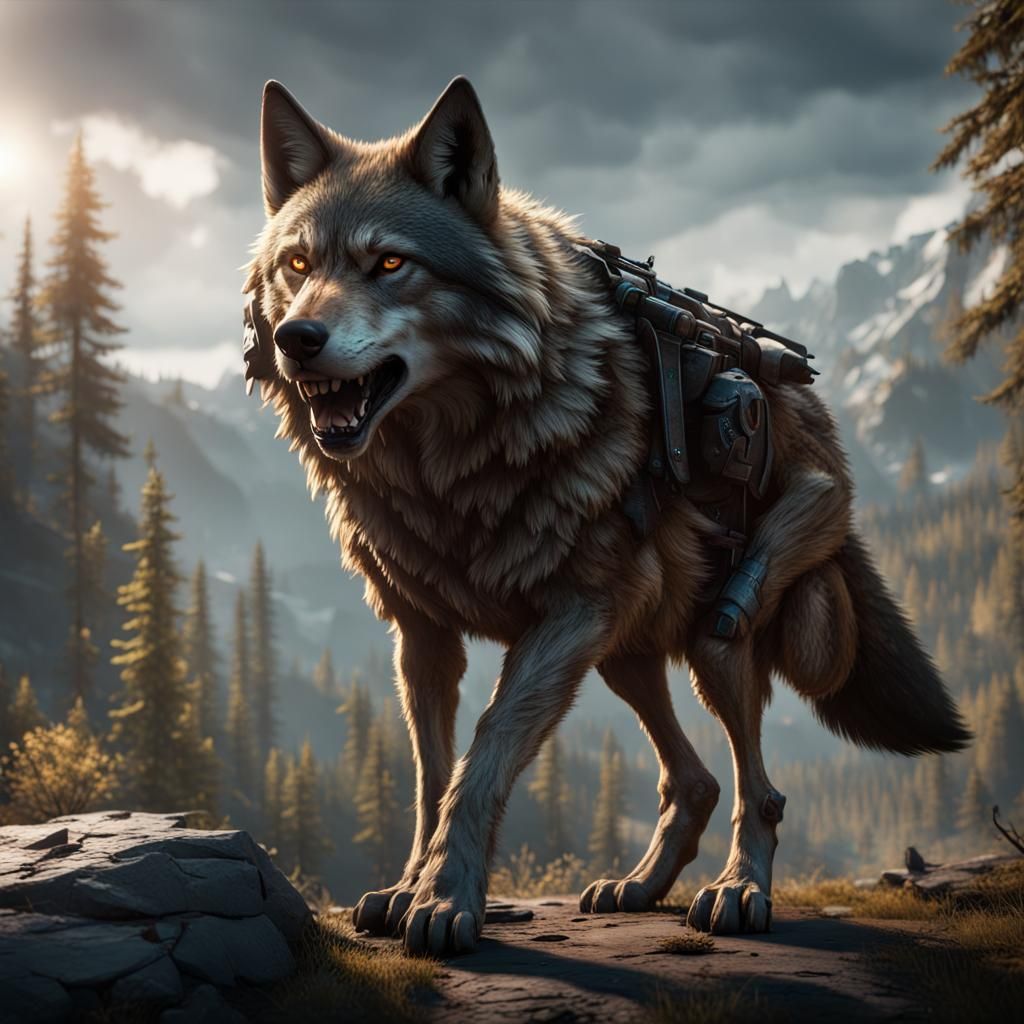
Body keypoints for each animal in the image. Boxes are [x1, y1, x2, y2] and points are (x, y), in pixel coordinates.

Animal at [244, 76, 970, 956]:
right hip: (625, 652)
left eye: (389, 263)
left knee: (755, 785)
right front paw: (409, 885)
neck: (447, 469)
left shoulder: (565, 615)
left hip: (716, 627)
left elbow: (483, 753)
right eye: (298, 264)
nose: (297, 339)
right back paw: (638, 887)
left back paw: (738, 891)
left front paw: (447, 899)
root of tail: (800, 398)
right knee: (693, 780)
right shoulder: (422, 634)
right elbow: (429, 777)